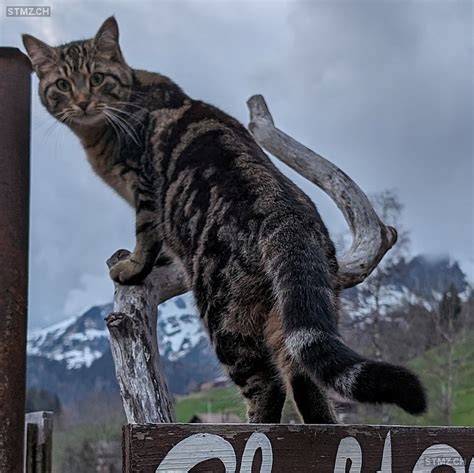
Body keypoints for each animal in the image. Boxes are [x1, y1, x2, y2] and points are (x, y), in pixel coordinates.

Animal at [23, 16, 426, 422]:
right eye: (62, 84)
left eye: (97, 78)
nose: (82, 101)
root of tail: (286, 217)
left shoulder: (144, 189)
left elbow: (146, 235)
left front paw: (134, 266)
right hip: (299, 312)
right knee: (306, 382)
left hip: (225, 317)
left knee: (267, 385)